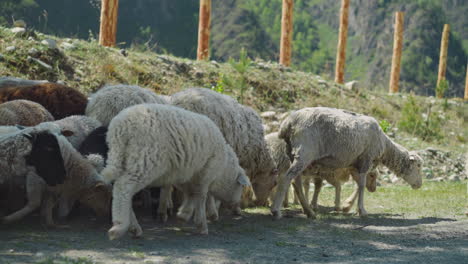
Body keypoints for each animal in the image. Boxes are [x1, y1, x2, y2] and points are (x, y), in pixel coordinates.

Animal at [101, 104, 250, 240]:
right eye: (240, 187)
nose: (237, 206)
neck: (223, 169)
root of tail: (119, 130)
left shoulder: (185, 173)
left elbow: (190, 194)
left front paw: (184, 215)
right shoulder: (205, 172)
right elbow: (201, 196)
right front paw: (201, 224)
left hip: (123, 159)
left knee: (119, 188)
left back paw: (134, 228)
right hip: (145, 159)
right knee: (123, 187)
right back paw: (119, 227)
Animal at [268, 106, 422, 219]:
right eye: (419, 166)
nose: (419, 185)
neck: (385, 145)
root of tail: (288, 123)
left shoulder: (354, 165)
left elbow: (358, 185)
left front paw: (348, 206)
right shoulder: (366, 159)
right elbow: (361, 185)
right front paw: (361, 210)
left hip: (293, 154)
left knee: (296, 182)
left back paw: (309, 211)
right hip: (304, 152)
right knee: (287, 178)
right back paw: (276, 210)